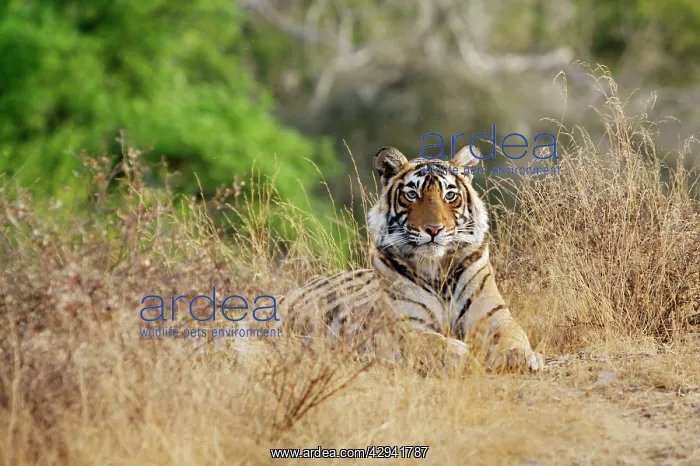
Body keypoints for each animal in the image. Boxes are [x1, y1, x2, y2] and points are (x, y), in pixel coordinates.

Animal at [280, 145, 544, 373]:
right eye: (411, 194)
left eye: (450, 195)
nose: (433, 229)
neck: (437, 271)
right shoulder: (404, 326)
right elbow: (433, 343)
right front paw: (465, 356)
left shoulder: (492, 314)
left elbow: (513, 335)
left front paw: (522, 357)